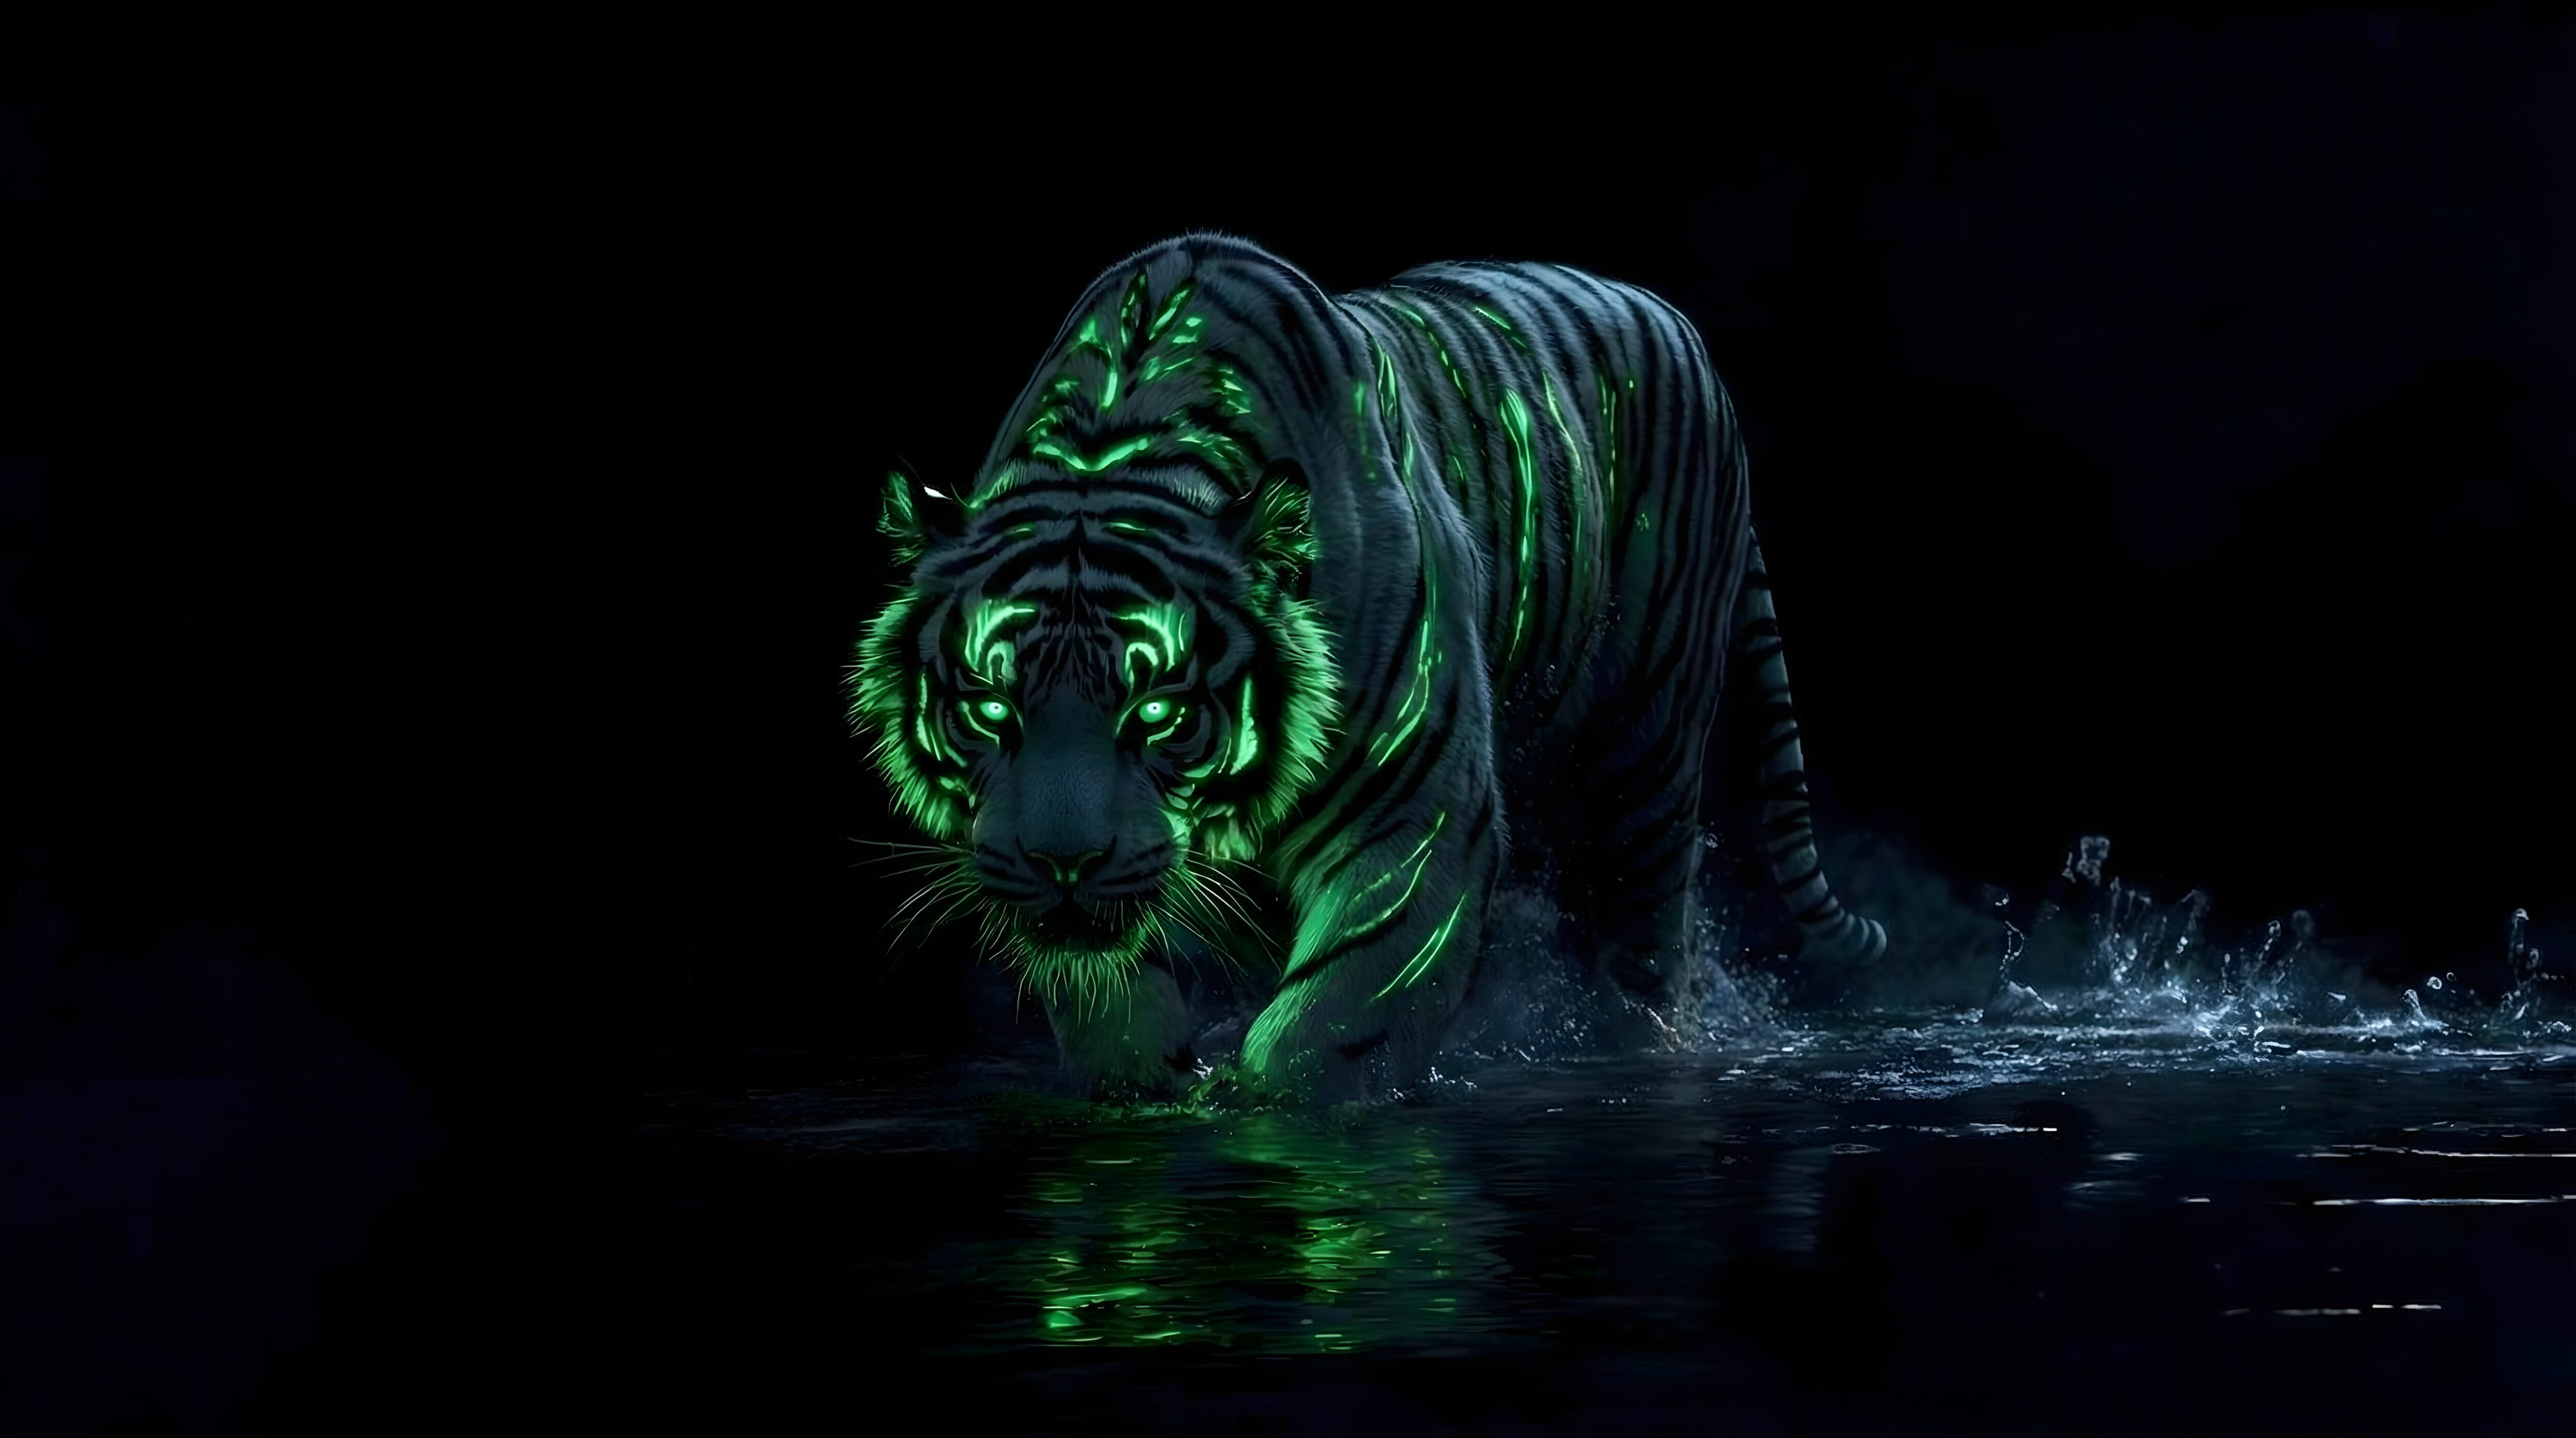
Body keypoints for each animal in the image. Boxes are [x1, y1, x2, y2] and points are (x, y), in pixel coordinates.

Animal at [852, 233, 1886, 1103]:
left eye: (1157, 713)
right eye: (991, 710)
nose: (1063, 863)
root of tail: (1674, 318)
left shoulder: (1417, 817)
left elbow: (1337, 1023)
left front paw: (1272, 1109)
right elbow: (1109, 1001)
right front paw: (1146, 1078)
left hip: (1645, 756)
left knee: (1641, 946)